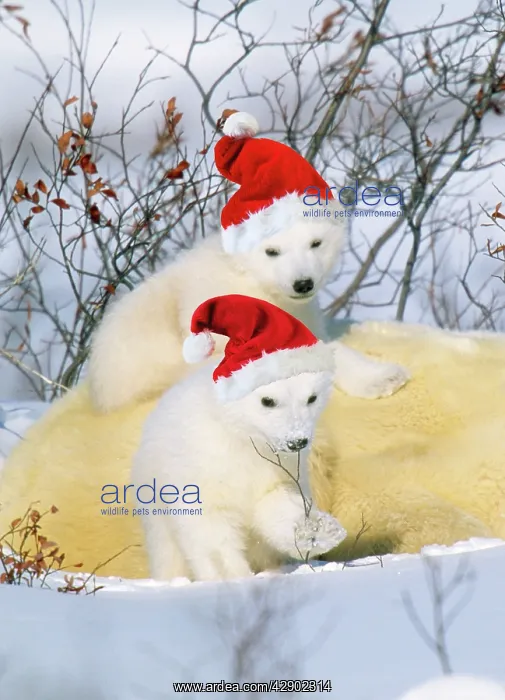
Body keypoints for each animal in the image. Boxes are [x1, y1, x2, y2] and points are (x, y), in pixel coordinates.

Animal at [132, 295, 347, 581]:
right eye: (268, 400)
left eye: (312, 397)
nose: (297, 441)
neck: (239, 437)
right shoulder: (200, 470)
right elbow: (210, 528)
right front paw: (232, 576)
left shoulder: (276, 469)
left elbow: (276, 502)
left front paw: (317, 530)